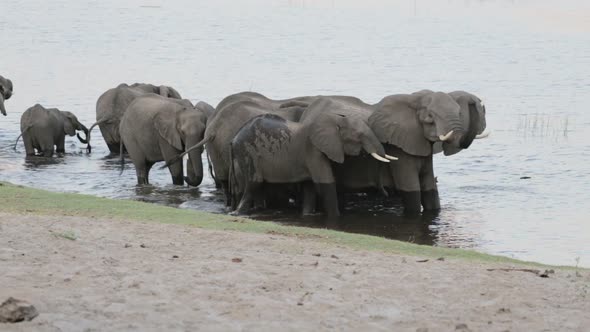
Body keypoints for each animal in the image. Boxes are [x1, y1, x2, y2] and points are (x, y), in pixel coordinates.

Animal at [229, 97, 396, 217]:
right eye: (360, 135)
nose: (387, 194)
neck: (336, 119)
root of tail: (234, 138)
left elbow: (309, 187)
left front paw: (308, 215)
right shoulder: (313, 150)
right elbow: (326, 183)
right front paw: (336, 217)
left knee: (258, 186)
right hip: (248, 151)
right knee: (254, 183)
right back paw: (238, 214)